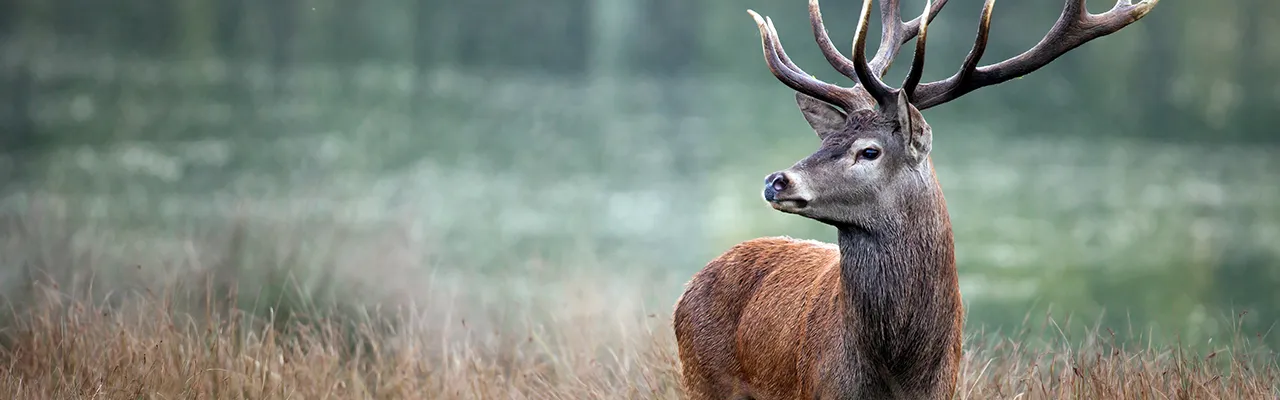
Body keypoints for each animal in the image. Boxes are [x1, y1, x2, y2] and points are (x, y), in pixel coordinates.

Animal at [671, 0, 1159, 398]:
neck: (898, 367)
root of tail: (688, 288)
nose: (776, 181)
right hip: (701, 379)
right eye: (827, 139)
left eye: (868, 151)